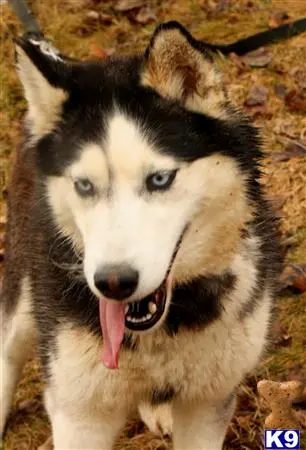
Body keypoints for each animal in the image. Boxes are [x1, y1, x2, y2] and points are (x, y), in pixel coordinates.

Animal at [0, 22, 282, 450]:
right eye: (84, 185)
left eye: (160, 179)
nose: (114, 282)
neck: (169, 325)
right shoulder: (79, 414)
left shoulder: (209, 402)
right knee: (9, 347)